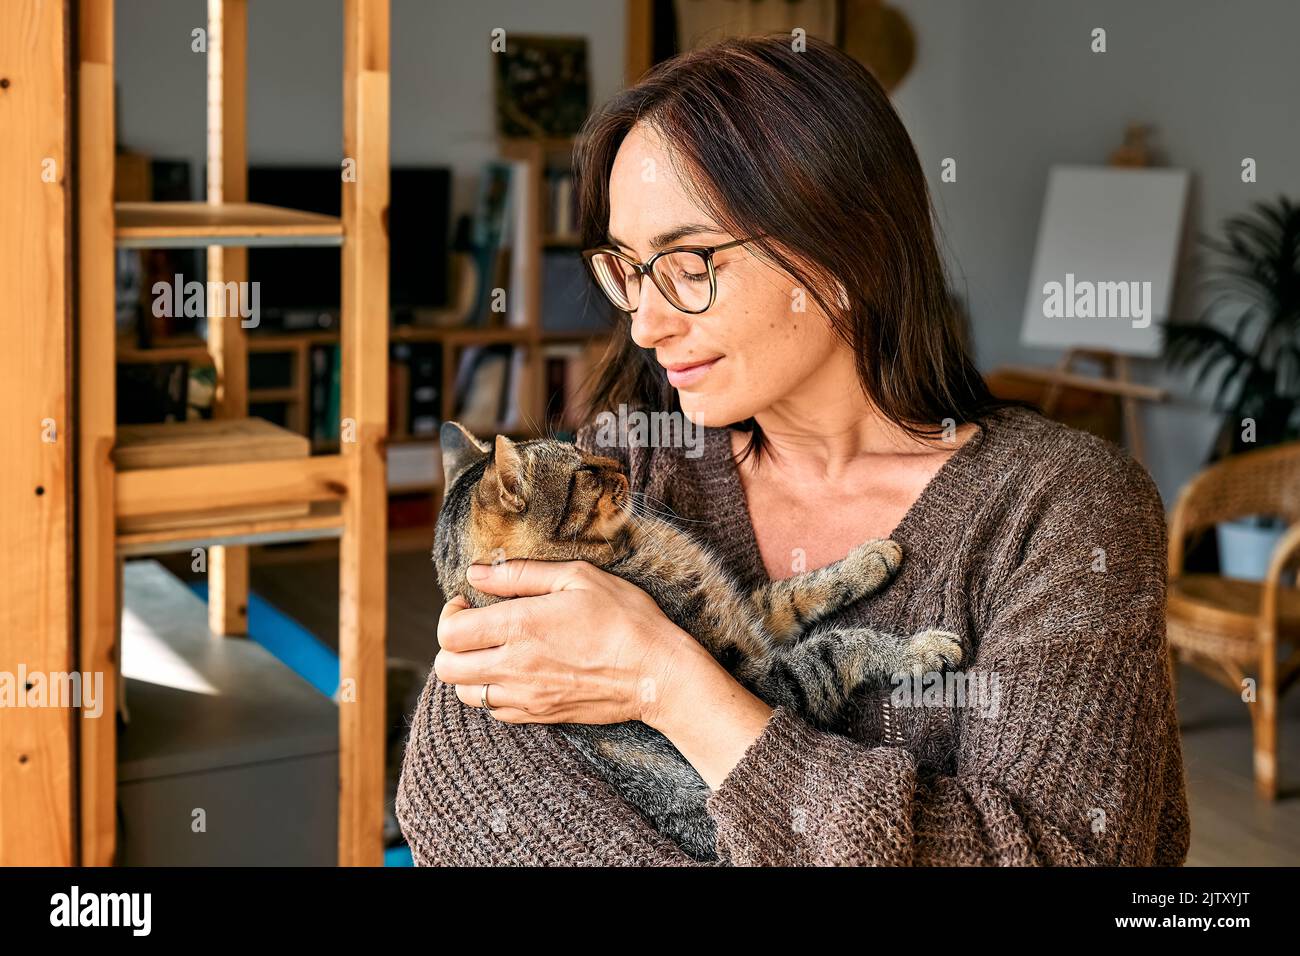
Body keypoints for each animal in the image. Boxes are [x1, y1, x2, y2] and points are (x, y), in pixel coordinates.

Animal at [436, 421, 967, 863]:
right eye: (584, 471)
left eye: (583, 450)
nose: (620, 465)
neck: (632, 546)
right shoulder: (767, 681)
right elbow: (840, 645)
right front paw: (920, 650)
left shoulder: (747, 617)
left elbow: (796, 591)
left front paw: (868, 560)